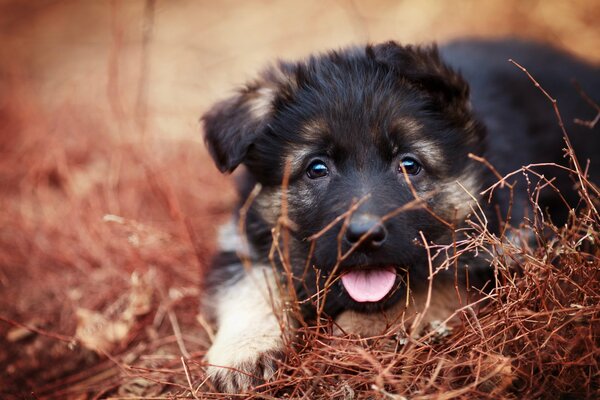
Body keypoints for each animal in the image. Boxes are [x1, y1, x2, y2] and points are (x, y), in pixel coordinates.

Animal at [199, 39, 596, 392]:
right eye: (316, 169)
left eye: (409, 164)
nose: (363, 235)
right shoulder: (242, 241)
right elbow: (250, 285)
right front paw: (244, 353)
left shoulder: (507, 251)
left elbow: (427, 291)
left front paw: (349, 336)